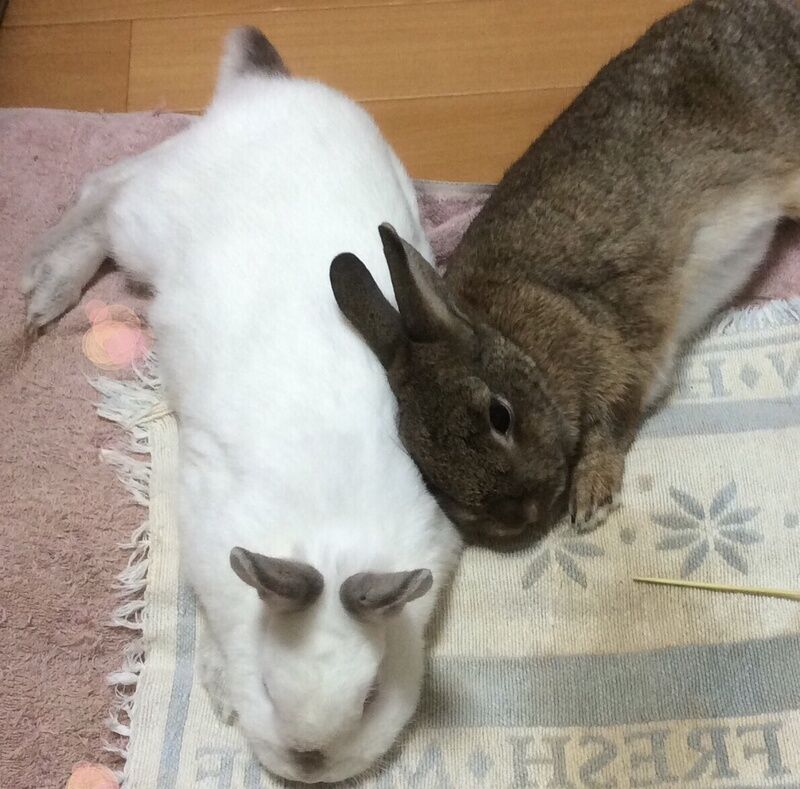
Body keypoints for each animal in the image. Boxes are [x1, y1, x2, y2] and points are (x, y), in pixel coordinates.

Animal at [20, 27, 461, 784]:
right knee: (105, 189)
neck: (327, 533)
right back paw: (42, 288)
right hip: (147, 221)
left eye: (371, 695)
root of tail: (264, 84)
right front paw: (219, 687)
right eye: (266, 689)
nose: (309, 762)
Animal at [330, 0, 800, 544]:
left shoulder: (616, 358)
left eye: (500, 415)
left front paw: (590, 500)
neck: (517, 339)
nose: (517, 516)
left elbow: (608, 429)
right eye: (427, 470)